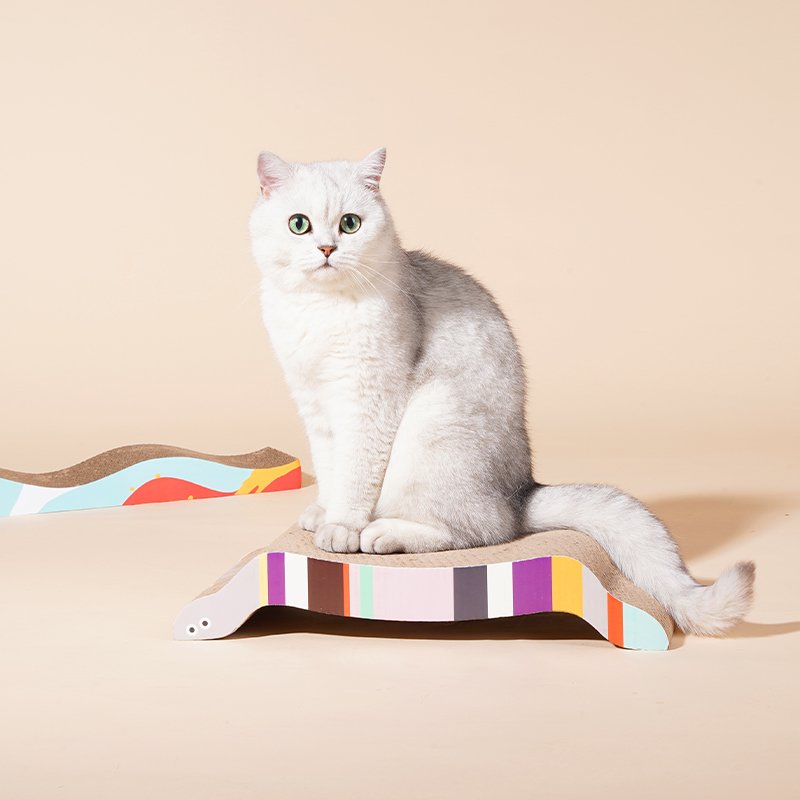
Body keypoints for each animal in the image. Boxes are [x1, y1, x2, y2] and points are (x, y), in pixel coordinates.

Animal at [247, 148, 752, 636]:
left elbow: (354, 476)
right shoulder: (314, 403)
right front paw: (325, 512)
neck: (318, 311)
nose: (327, 248)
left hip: (434, 422)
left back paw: (386, 534)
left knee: (484, 530)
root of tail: (520, 494)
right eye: (299, 224)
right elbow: (332, 469)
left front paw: (342, 526)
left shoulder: (367, 402)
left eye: (350, 223)